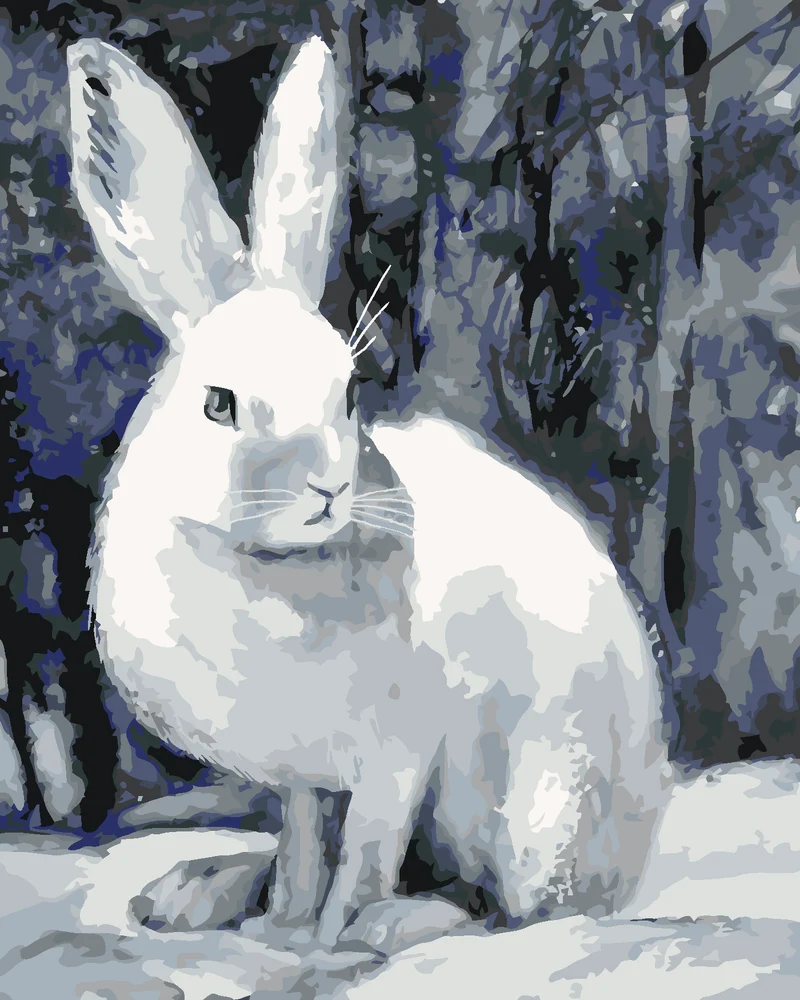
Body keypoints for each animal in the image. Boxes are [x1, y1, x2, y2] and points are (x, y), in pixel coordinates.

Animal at [69, 33, 670, 951]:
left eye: (348, 393)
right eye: (219, 404)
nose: (328, 486)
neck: (272, 565)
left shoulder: (396, 758)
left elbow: (362, 855)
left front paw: (329, 939)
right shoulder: (305, 778)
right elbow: (303, 842)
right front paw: (280, 927)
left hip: (532, 808)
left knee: (514, 912)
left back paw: (394, 924)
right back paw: (194, 894)